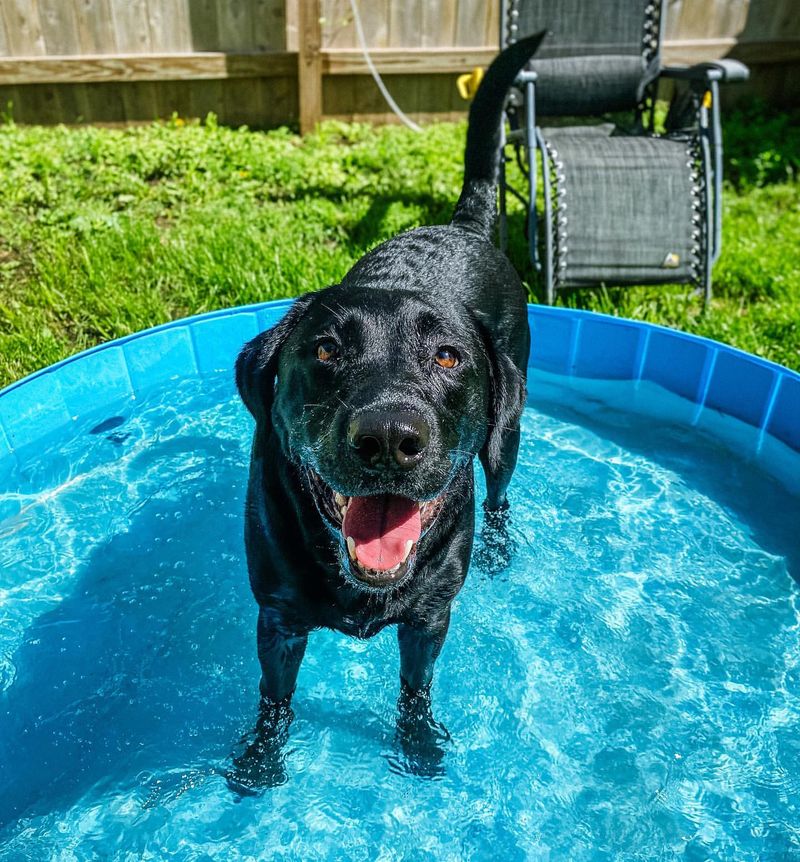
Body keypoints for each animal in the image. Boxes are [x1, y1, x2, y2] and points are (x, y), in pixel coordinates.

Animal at [231, 32, 544, 788]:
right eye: (323, 350)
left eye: (449, 358)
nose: (388, 438)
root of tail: (464, 226)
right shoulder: (276, 619)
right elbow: (273, 699)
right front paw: (259, 760)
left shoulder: (430, 617)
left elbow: (415, 687)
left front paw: (419, 744)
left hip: (510, 433)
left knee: (500, 488)